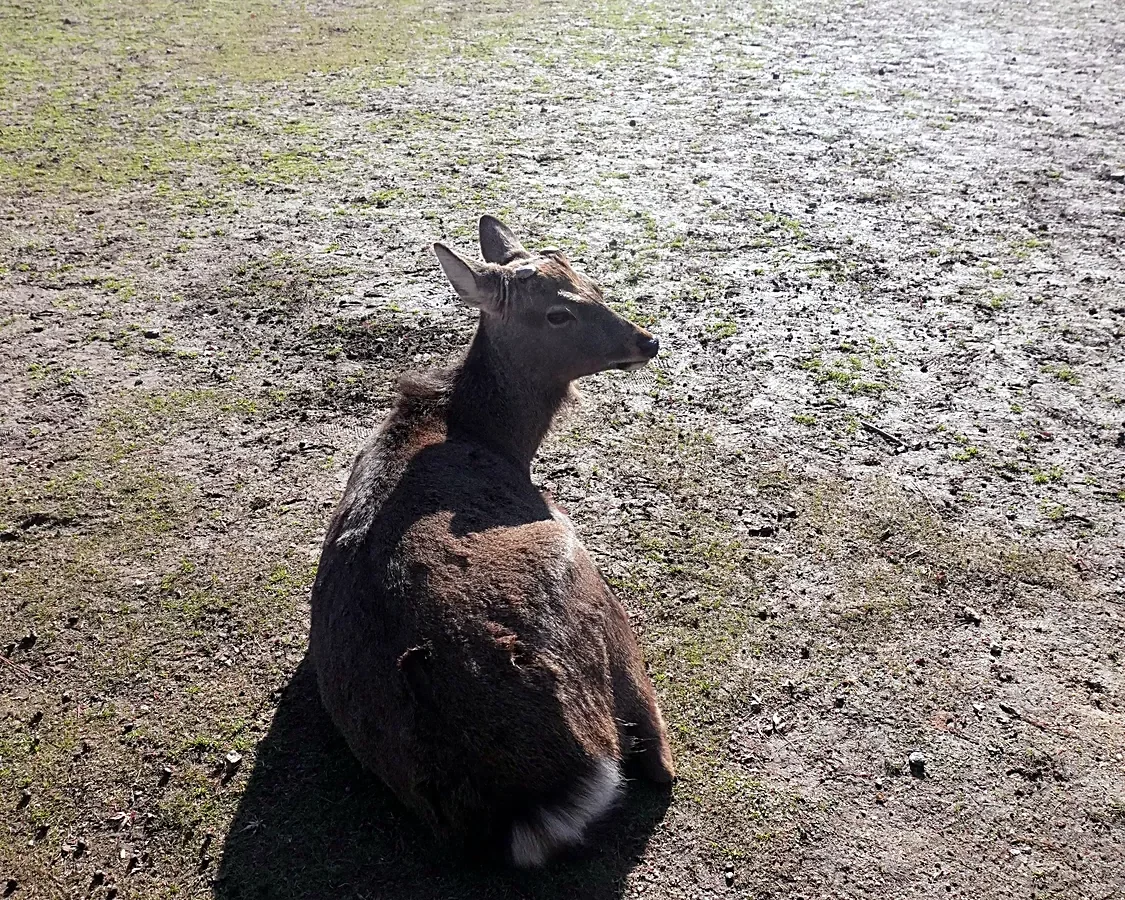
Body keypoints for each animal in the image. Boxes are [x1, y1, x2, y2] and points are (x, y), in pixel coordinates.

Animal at [309, 215, 674, 868]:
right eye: (557, 313)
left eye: (590, 281)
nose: (647, 341)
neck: (494, 438)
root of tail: (523, 807)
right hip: (583, 582)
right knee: (656, 754)